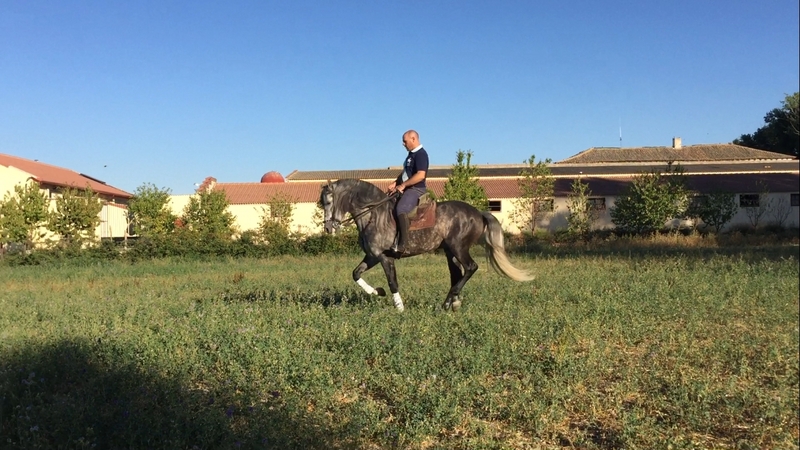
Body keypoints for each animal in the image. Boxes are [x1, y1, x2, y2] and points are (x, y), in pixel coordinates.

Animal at [319, 179, 533, 312]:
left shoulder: (384, 257)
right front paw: (377, 292)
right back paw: (451, 303)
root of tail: (479, 213)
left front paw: (399, 307)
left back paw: (449, 302)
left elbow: (392, 282)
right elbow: (356, 274)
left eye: (328, 201)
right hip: (449, 251)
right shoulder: (372, 256)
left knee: (470, 268)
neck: (373, 214)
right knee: (457, 274)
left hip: (458, 247)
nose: (328, 228)